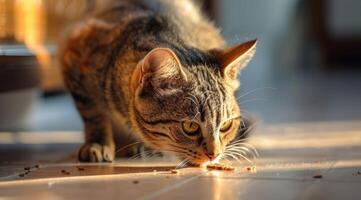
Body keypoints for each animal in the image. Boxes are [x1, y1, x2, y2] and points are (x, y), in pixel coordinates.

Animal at [59, 0, 256, 166]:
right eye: (190, 127)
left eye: (226, 125)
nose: (214, 155)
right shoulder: (74, 55)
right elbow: (93, 114)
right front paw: (98, 143)